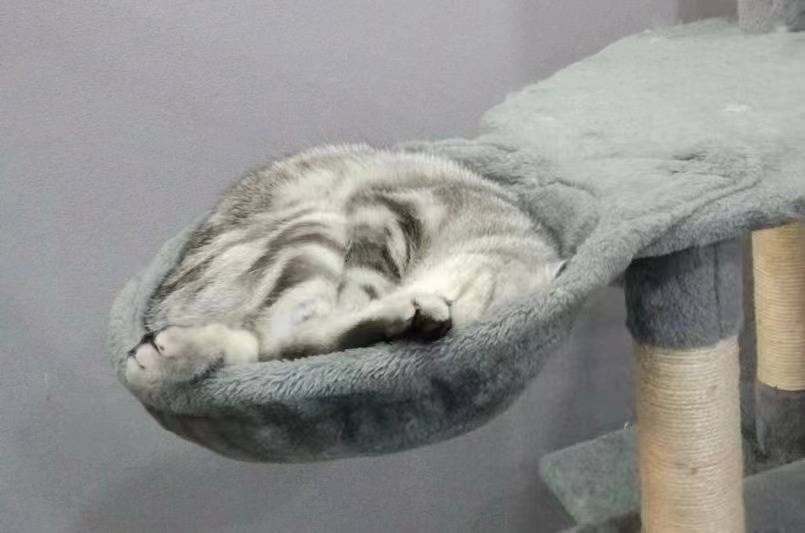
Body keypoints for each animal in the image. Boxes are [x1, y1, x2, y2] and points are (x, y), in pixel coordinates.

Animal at [125, 144, 564, 398]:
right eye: (478, 294)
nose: (444, 324)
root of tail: (162, 307)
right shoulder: (390, 212)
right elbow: (359, 293)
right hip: (318, 223)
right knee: (286, 336)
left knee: (270, 345)